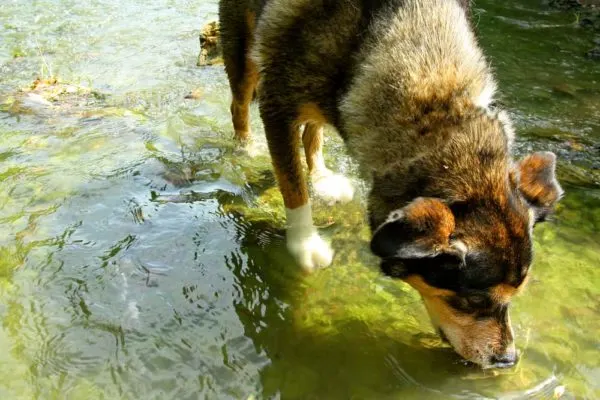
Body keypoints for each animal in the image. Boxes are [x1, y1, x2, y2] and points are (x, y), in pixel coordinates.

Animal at [217, 0, 564, 368]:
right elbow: (292, 185)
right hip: (244, 51)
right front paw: (304, 245)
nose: (508, 360)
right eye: (472, 301)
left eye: (516, 295)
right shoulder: (276, 105)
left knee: (313, 129)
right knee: (239, 104)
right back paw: (244, 148)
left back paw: (322, 177)